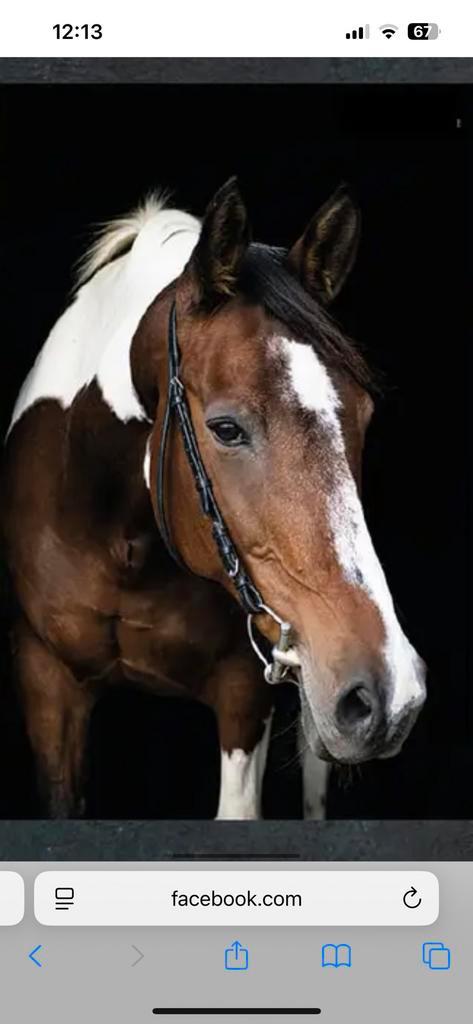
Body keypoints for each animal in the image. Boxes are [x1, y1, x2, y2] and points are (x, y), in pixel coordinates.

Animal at [1, 178, 426, 820]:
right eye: (226, 429)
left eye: (365, 416)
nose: (391, 689)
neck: (123, 543)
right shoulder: (46, 680)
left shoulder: (246, 694)